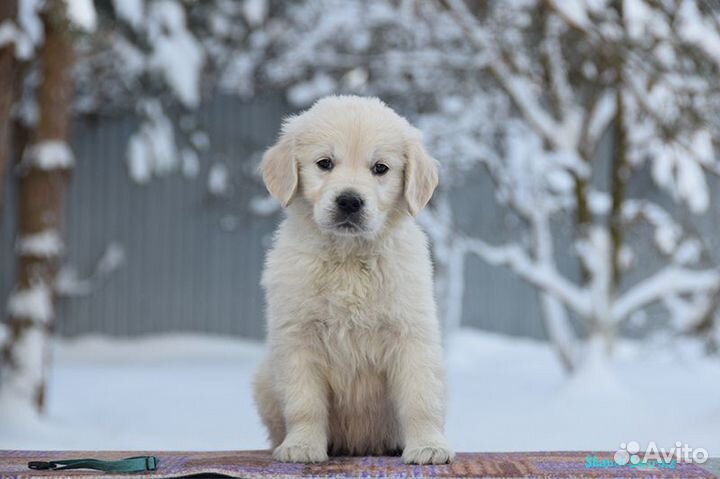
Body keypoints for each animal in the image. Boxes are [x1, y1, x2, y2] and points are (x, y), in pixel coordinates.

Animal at [253, 94, 452, 464]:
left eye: (380, 168)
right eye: (325, 163)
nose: (349, 201)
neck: (347, 258)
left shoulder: (410, 334)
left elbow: (420, 398)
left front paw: (428, 446)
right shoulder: (297, 337)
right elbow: (304, 403)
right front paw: (302, 445)